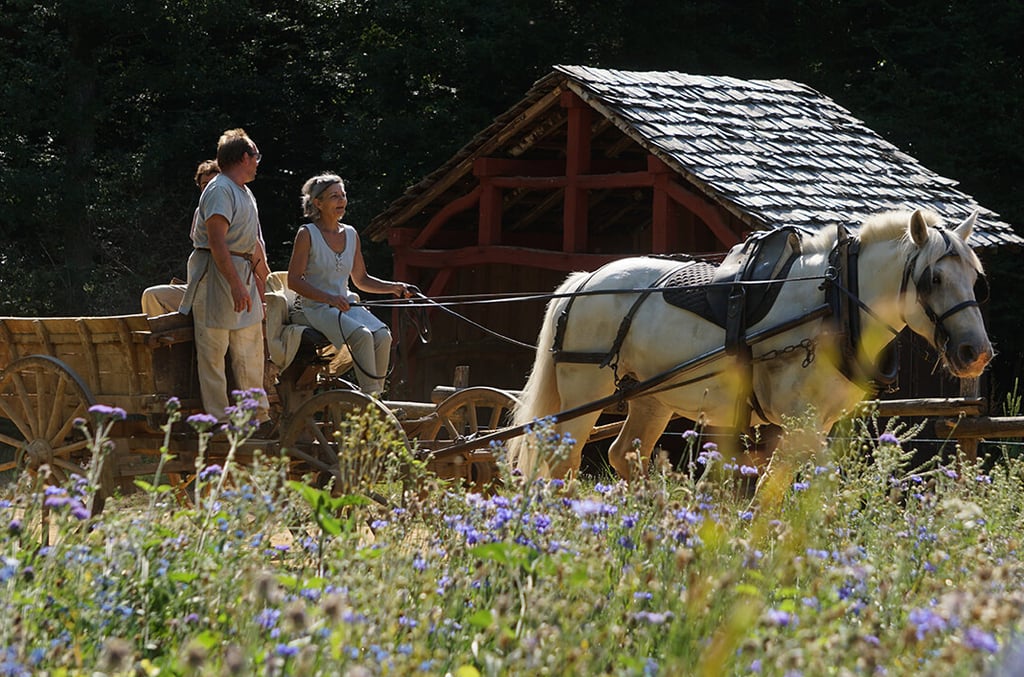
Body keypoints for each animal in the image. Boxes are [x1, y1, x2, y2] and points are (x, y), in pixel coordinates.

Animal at [512, 208, 991, 477]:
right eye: (933, 279)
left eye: (975, 279)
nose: (976, 353)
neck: (835, 302)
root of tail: (584, 279)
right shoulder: (799, 423)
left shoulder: (812, 426)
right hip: (583, 393)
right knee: (560, 461)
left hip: (652, 398)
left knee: (625, 455)